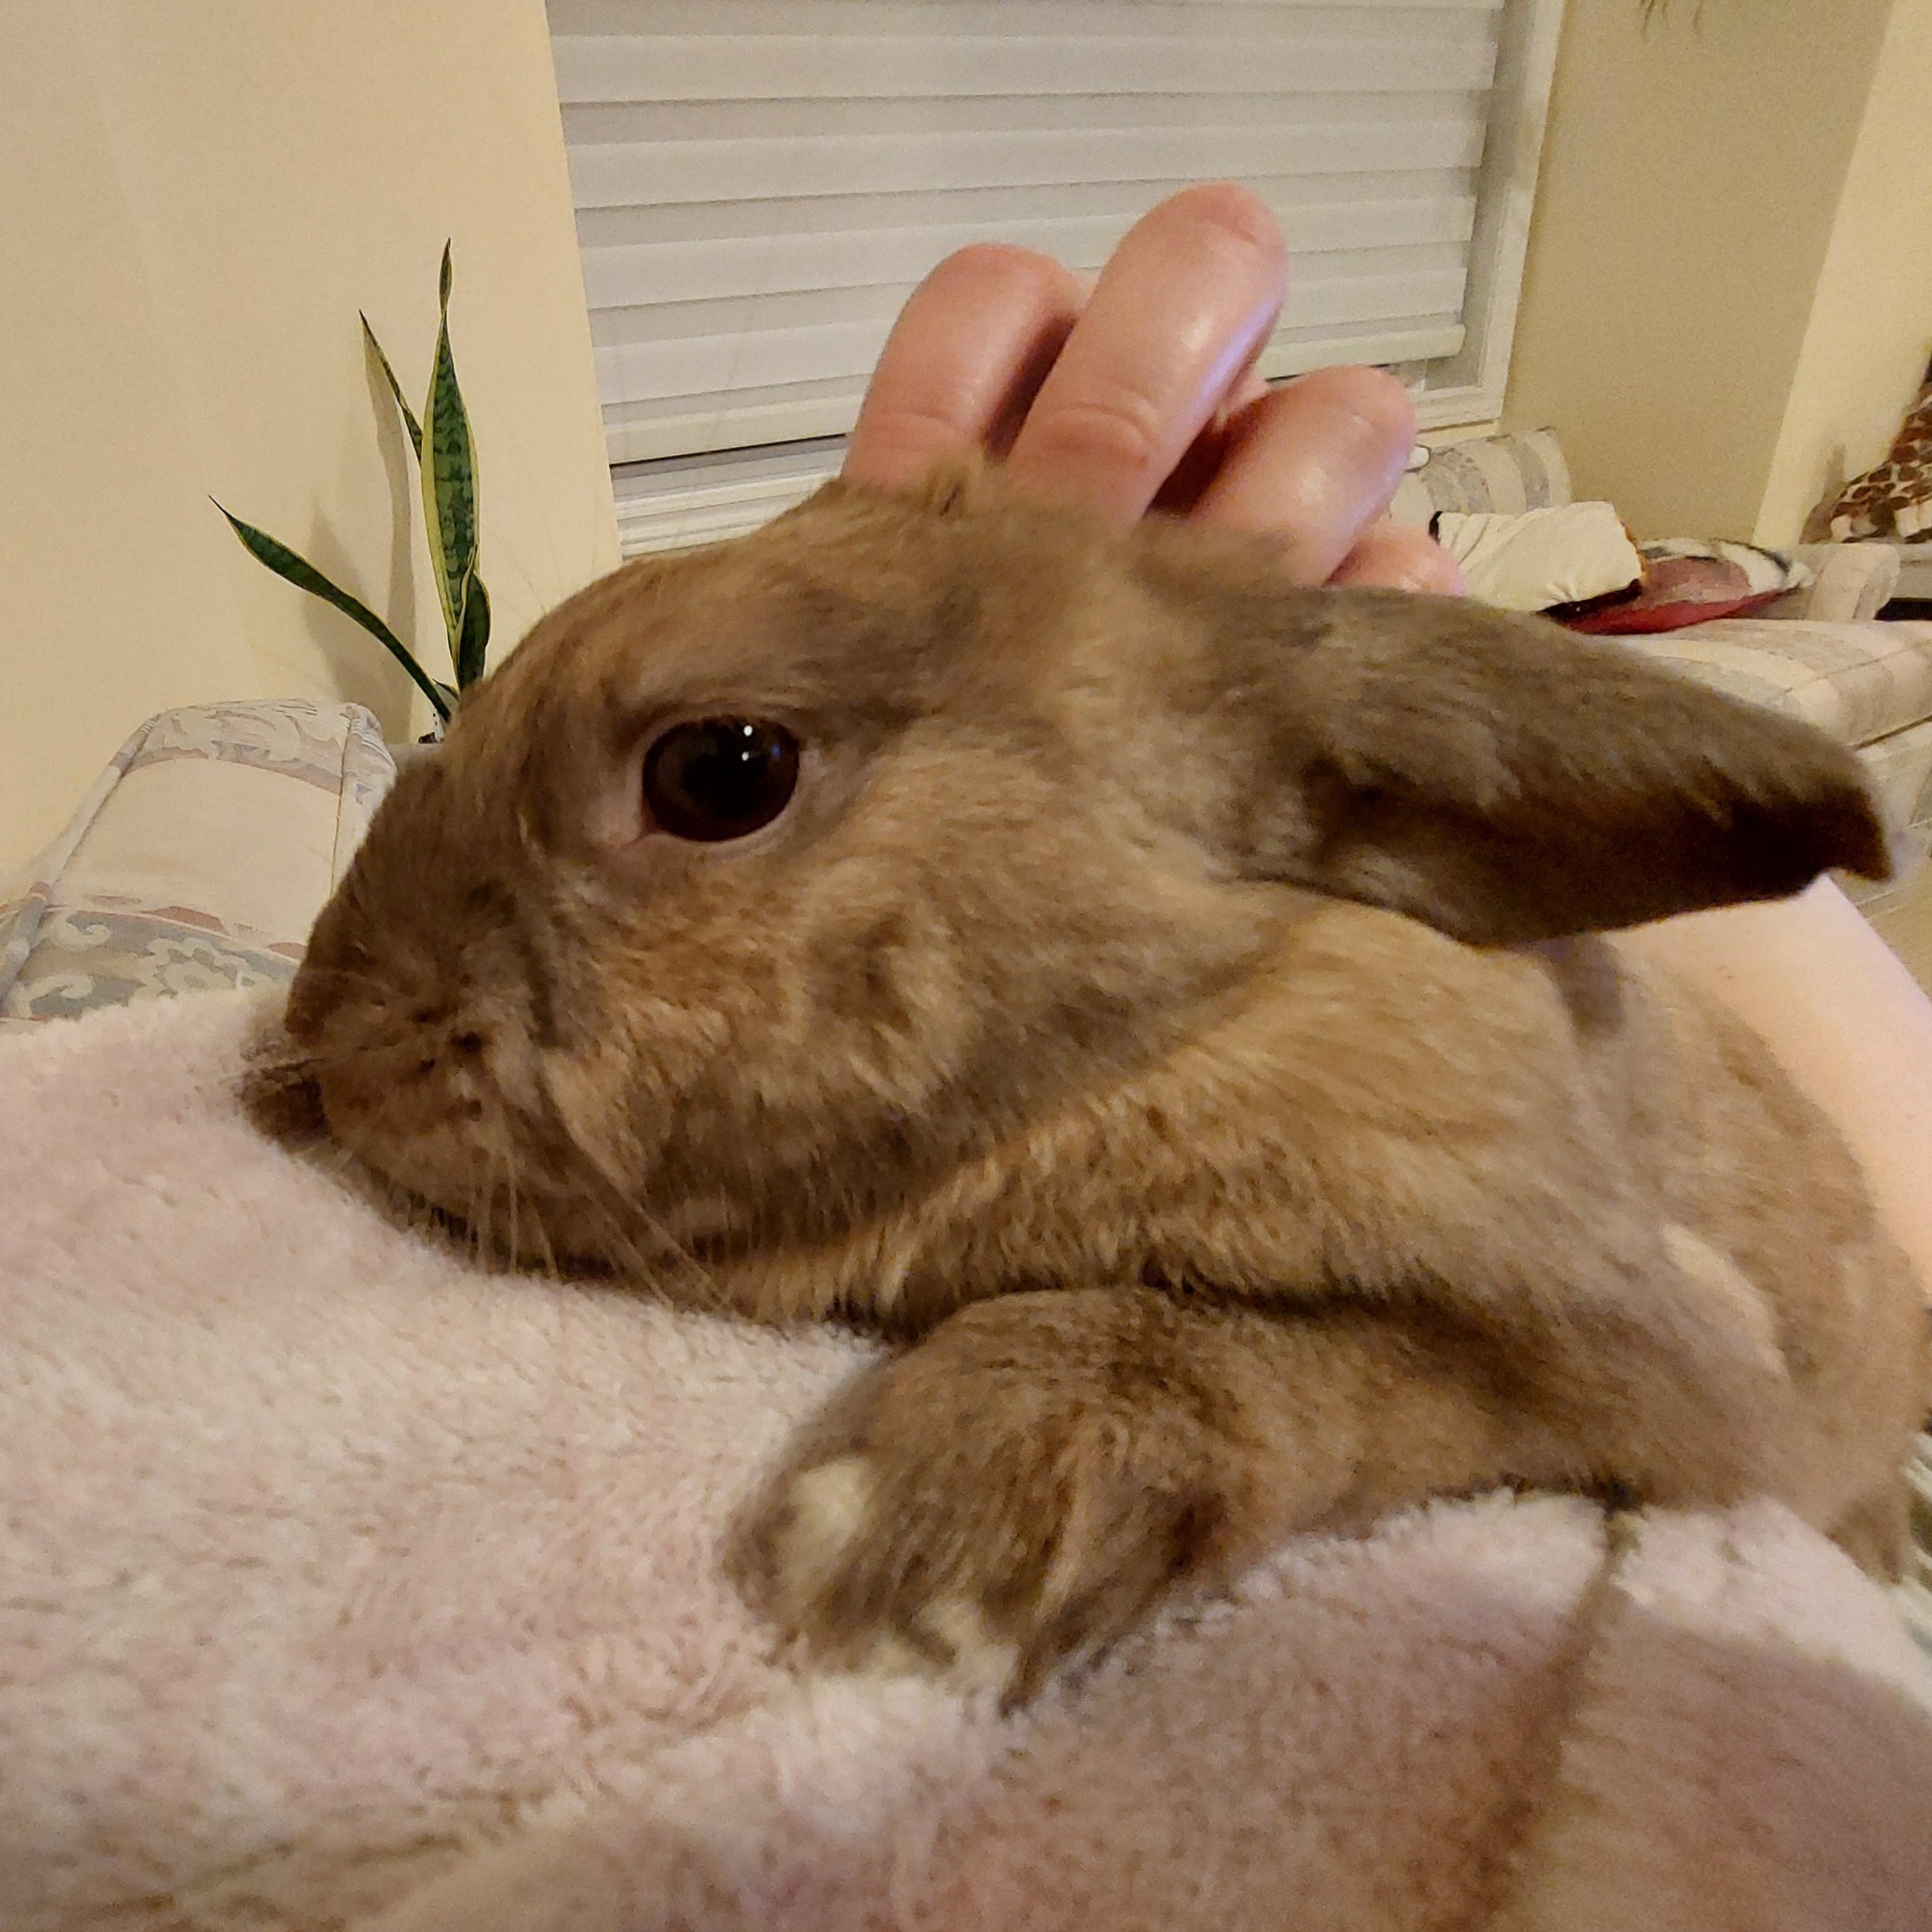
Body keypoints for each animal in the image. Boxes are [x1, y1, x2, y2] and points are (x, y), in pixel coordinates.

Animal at [285, 455, 1928, 1703]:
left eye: (719, 770)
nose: (328, 1030)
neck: (1172, 1023)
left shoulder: (1614, 1372)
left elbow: (1310, 1367)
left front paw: (931, 1553)